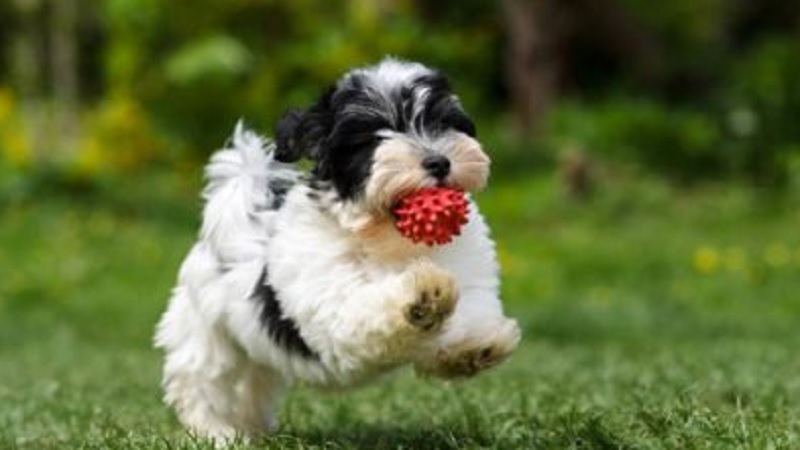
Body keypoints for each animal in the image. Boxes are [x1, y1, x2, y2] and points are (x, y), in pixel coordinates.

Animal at [154, 58, 520, 442]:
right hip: (205, 328)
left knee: (254, 382)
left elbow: (471, 310)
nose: (438, 162)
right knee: (203, 379)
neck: (385, 235)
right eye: (374, 136)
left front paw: (471, 349)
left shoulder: (468, 267)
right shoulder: (332, 297)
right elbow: (364, 306)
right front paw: (420, 298)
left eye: (444, 124)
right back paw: (217, 432)